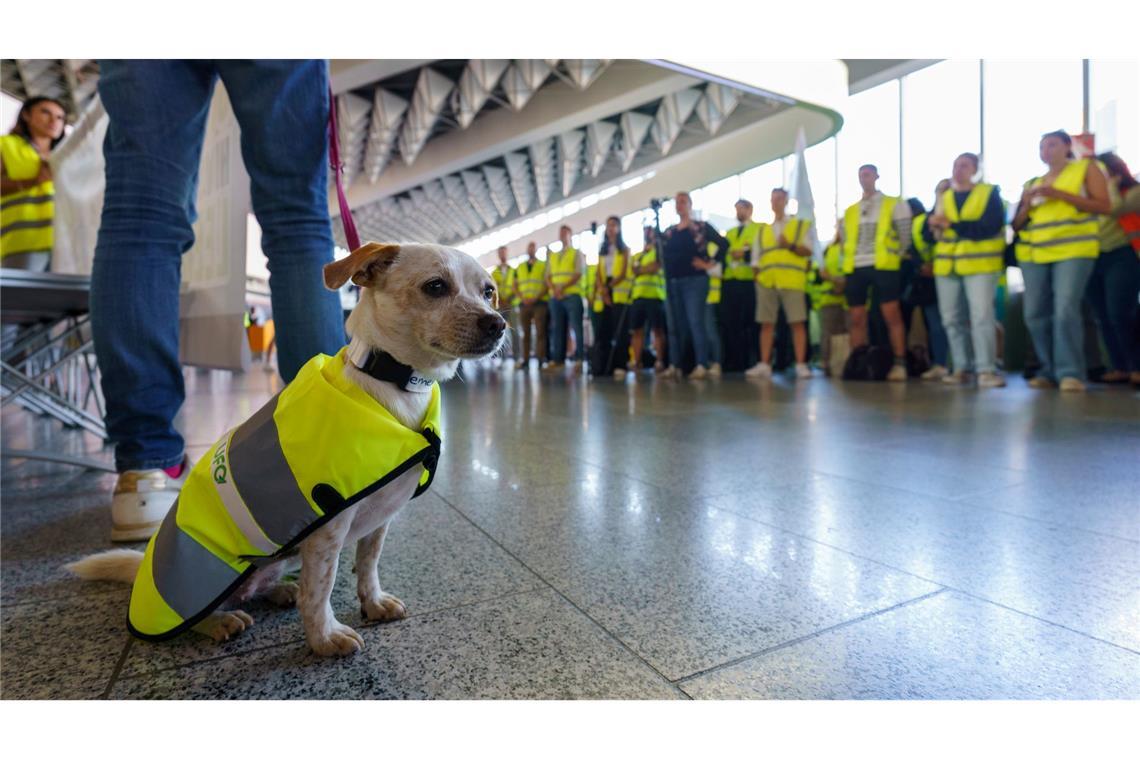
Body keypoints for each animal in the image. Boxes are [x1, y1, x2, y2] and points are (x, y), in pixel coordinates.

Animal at [65, 244, 503, 660]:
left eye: (488, 291)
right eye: (435, 286)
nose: (498, 323)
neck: (394, 384)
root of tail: (145, 571)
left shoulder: (380, 518)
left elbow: (368, 564)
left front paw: (373, 602)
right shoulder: (328, 528)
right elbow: (321, 588)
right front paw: (325, 638)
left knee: (265, 586)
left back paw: (278, 591)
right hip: (202, 583)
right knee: (195, 613)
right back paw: (221, 621)